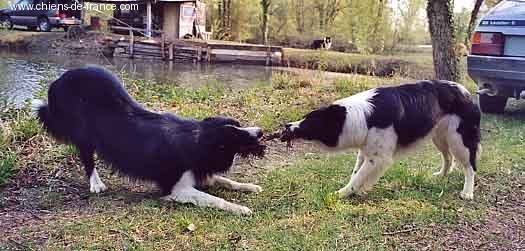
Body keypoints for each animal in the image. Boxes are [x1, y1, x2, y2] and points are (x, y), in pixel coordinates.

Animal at [30, 65, 264, 215]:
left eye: (239, 124)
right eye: (236, 135)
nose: (261, 131)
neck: (197, 139)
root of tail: (56, 82)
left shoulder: (197, 171)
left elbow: (226, 181)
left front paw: (249, 186)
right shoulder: (175, 188)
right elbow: (214, 199)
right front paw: (240, 208)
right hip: (83, 132)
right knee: (87, 158)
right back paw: (96, 184)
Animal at [280, 80, 482, 200]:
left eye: (310, 122)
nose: (287, 126)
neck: (361, 117)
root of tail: (467, 92)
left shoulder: (378, 157)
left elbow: (358, 176)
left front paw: (342, 193)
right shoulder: (365, 152)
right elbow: (357, 173)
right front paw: (359, 190)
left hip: (459, 140)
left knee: (470, 167)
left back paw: (467, 192)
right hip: (440, 137)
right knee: (448, 158)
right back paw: (441, 175)